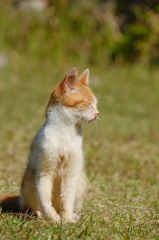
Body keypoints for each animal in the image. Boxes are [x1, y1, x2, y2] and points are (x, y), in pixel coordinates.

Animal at [0, 66, 99, 222]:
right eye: (87, 103)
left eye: (95, 105)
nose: (97, 113)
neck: (65, 133)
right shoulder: (44, 172)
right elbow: (44, 198)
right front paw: (52, 217)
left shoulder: (71, 173)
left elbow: (67, 199)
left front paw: (67, 219)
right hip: (30, 176)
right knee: (29, 206)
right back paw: (37, 214)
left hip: (81, 179)